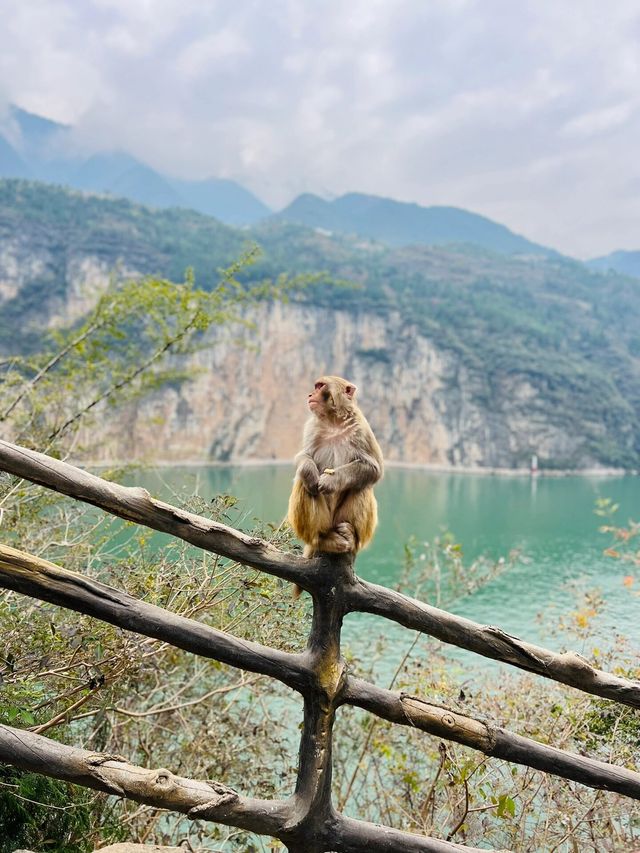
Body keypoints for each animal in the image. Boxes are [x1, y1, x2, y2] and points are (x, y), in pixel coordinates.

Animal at [288, 376, 382, 588]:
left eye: (320, 386)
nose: (310, 394)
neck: (333, 422)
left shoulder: (362, 429)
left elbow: (374, 468)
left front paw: (330, 481)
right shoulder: (311, 427)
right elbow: (303, 457)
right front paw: (310, 473)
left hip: (339, 518)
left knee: (363, 486)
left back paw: (351, 537)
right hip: (324, 521)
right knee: (304, 484)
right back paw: (323, 539)